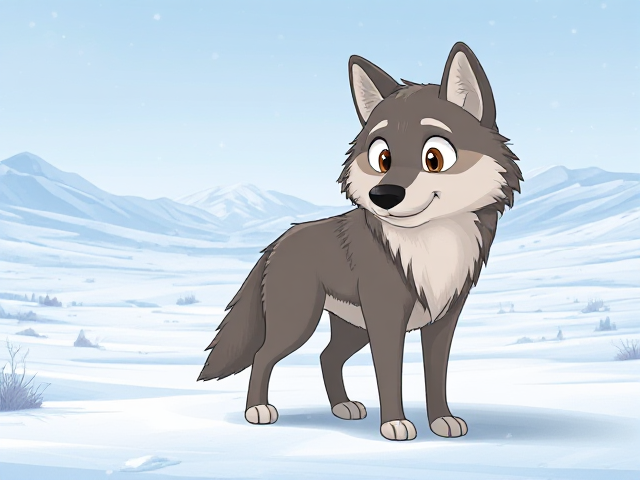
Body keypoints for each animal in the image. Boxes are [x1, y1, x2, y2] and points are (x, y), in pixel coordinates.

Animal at [198, 42, 522, 441]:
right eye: (382, 157)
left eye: (434, 157)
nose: (383, 194)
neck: (429, 243)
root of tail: (278, 242)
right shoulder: (386, 318)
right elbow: (389, 376)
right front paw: (395, 424)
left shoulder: (442, 320)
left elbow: (436, 376)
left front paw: (441, 420)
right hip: (300, 322)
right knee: (263, 355)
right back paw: (257, 410)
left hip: (352, 329)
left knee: (326, 356)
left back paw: (342, 406)